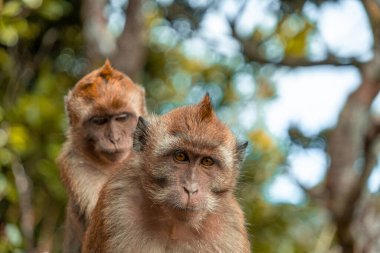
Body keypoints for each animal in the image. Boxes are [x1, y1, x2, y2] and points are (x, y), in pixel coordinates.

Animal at [81, 94, 251, 253]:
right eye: (180, 156)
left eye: (207, 161)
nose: (191, 189)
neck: (174, 226)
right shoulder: (117, 205)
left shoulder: (230, 227)